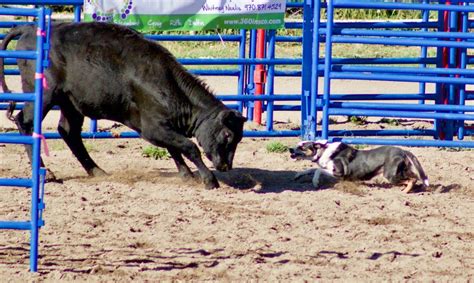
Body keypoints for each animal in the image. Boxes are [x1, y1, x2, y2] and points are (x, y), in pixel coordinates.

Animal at [2, 22, 248, 190]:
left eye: (239, 138)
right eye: (227, 135)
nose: (226, 166)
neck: (165, 81)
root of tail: (29, 28)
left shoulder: (161, 128)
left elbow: (175, 148)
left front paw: (187, 175)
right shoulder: (152, 128)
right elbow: (188, 146)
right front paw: (209, 179)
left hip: (70, 103)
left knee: (69, 132)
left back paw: (96, 170)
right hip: (45, 94)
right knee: (25, 122)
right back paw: (46, 171)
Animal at [288, 141, 430, 194]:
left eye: (302, 146)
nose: (290, 149)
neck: (323, 151)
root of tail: (403, 151)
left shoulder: (338, 172)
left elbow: (318, 170)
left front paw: (315, 182)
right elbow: (311, 169)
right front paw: (298, 175)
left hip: (390, 175)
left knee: (412, 179)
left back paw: (404, 191)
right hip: (399, 172)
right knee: (414, 178)